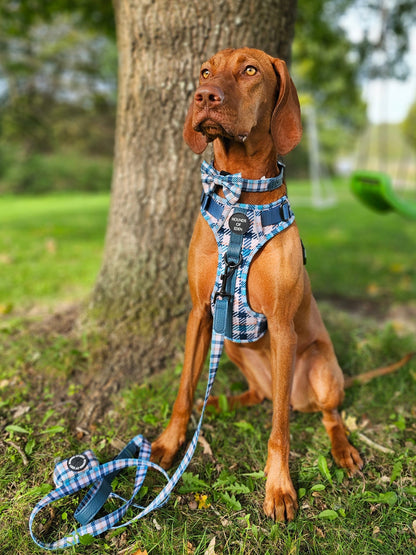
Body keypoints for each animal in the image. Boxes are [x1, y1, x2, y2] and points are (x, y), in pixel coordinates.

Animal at [151, 47, 362, 520]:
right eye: (205, 71)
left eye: (250, 70)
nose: (204, 96)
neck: (241, 200)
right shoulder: (201, 311)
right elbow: (184, 391)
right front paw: (171, 443)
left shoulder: (282, 326)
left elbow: (280, 429)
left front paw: (279, 487)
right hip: (231, 344)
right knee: (262, 397)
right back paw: (224, 403)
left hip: (321, 366)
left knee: (326, 414)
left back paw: (342, 450)